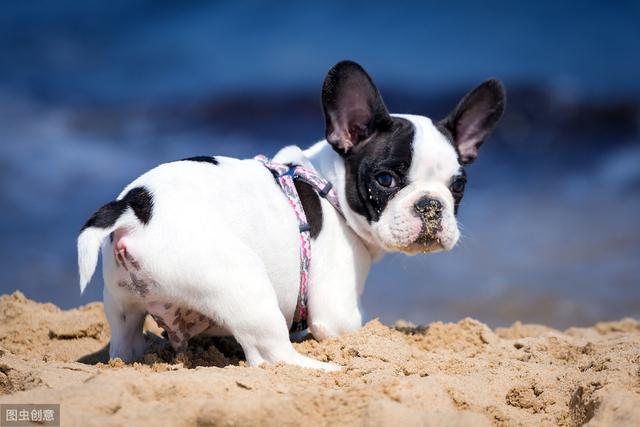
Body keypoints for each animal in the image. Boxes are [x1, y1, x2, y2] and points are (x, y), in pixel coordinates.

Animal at [76, 59, 504, 372]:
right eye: (385, 179)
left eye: (458, 186)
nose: (431, 204)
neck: (328, 184)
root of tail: (135, 208)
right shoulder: (337, 311)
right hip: (244, 284)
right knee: (272, 356)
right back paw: (325, 369)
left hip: (122, 306)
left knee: (126, 343)